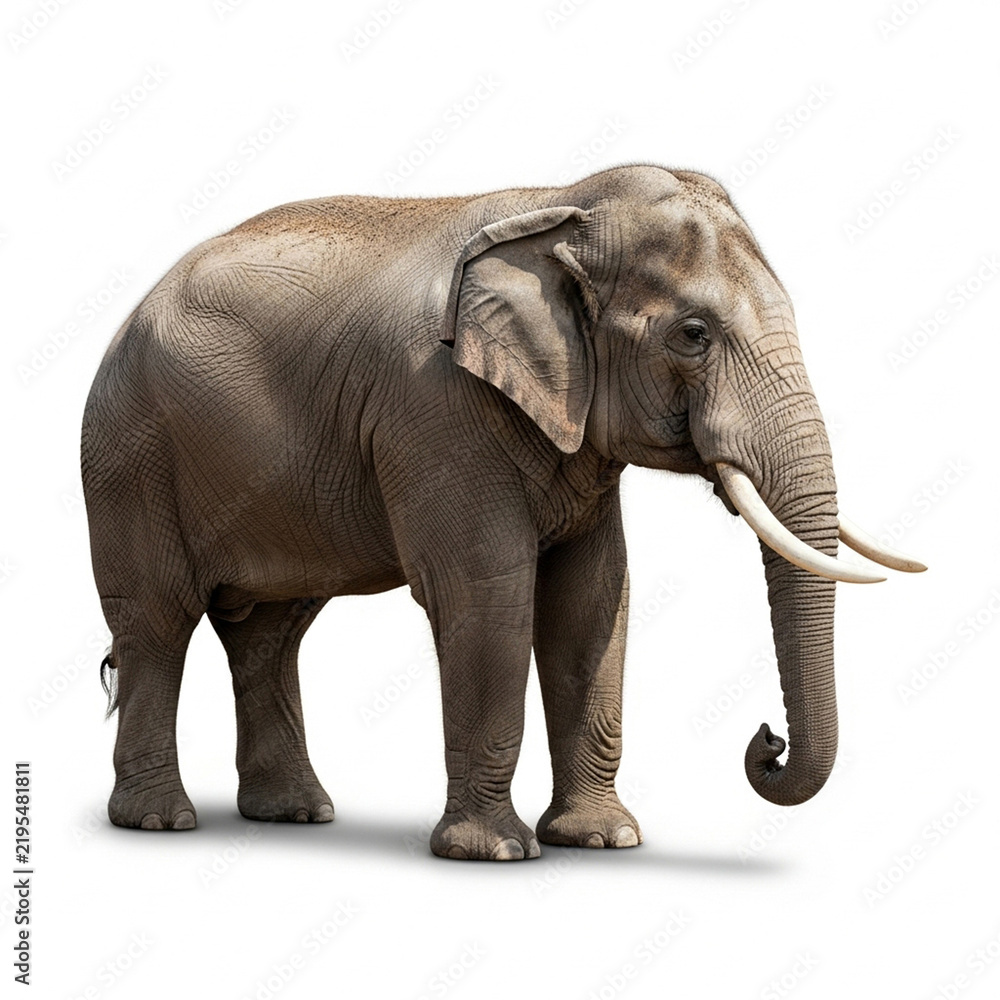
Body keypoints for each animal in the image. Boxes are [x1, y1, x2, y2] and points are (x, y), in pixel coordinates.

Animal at [82, 164, 924, 860]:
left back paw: (295, 815)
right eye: (693, 335)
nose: (766, 742)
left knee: (269, 632)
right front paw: (498, 853)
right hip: (130, 456)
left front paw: (605, 840)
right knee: (157, 620)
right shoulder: (436, 406)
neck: (563, 204)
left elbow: (592, 600)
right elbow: (487, 592)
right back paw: (160, 823)